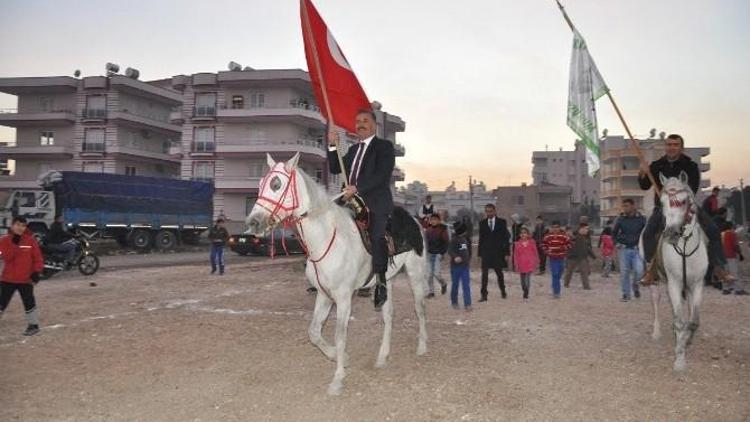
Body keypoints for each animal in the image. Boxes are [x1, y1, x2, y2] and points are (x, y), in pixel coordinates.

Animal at [247, 152, 428, 396]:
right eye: (260, 184)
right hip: (386, 281)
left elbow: (340, 336)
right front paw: (337, 357)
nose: (253, 222)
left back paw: (422, 346)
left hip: (415, 274)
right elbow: (314, 332)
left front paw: (338, 379)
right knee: (389, 315)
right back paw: (382, 356)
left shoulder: (343, 297)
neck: (326, 238)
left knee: (420, 309)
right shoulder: (324, 295)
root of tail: (414, 220)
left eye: (276, 184)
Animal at [648, 170, 712, 370]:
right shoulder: (674, 283)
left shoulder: (697, 284)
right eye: (662, 202)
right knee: (656, 301)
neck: (684, 246)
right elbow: (678, 320)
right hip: (656, 281)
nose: (671, 233)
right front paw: (680, 359)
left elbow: (693, 321)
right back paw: (656, 332)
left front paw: (686, 341)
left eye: (683, 201)